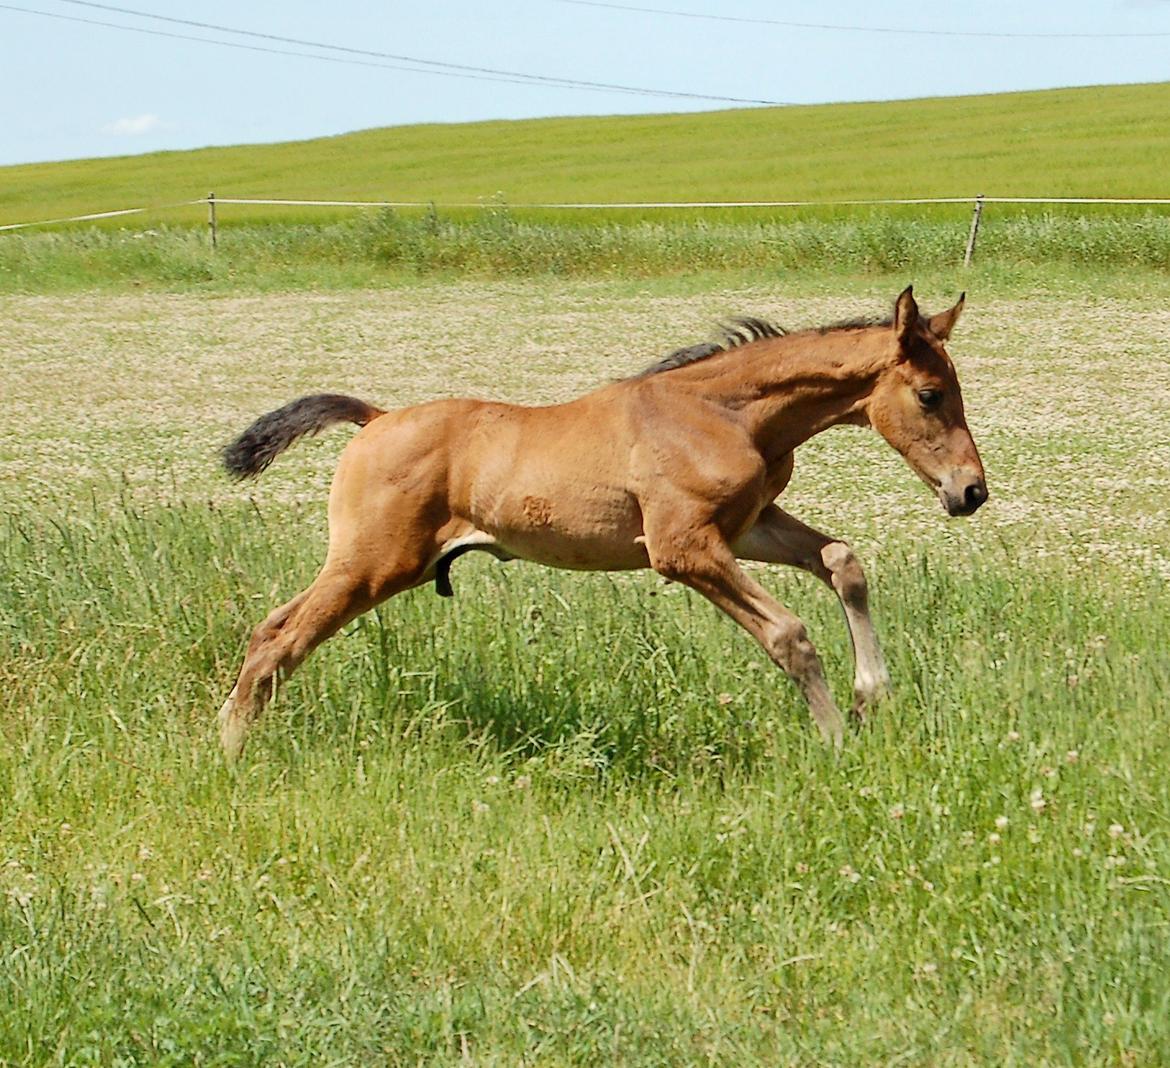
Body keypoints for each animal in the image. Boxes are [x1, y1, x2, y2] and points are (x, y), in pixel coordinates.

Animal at [217, 285, 987, 758]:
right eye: (930, 393)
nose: (971, 491)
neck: (721, 414)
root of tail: (375, 420)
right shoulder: (681, 548)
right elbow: (790, 634)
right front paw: (836, 742)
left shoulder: (745, 526)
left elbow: (842, 562)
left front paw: (870, 697)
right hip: (375, 563)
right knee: (281, 637)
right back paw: (228, 748)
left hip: (371, 564)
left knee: (271, 627)